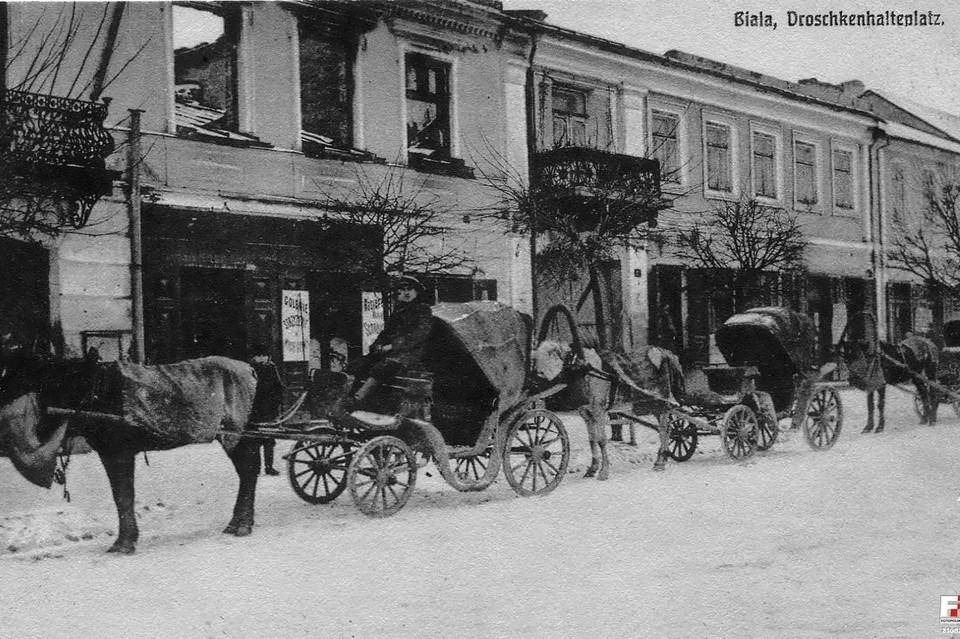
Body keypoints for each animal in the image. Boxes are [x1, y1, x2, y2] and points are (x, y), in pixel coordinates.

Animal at [0, 344, 266, 556]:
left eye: (7, 372)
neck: (93, 388)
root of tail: (250, 368)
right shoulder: (109, 453)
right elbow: (120, 495)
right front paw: (126, 539)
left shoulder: (119, 452)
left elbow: (124, 495)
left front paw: (125, 542)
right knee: (247, 472)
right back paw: (237, 522)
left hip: (236, 434)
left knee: (248, 471)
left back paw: (242, 523)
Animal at [528, 342, 688, 478]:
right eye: (536, 359)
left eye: (551, 355)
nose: (535, 379)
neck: (584, 371)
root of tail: (664, 351)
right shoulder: (586, 413)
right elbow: (592, 440)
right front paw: (592, 469)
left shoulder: (599, 410)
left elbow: (601, 440)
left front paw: (604, 471)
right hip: (653, 405)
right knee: (667, 429)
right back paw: (663, 458)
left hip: (661, 403)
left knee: (664, 429)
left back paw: (660, 461)